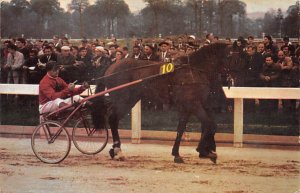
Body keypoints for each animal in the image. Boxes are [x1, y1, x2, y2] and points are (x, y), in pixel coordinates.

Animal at [90, 42, 231, 163]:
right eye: (233, 55)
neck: (193, 71)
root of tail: (110, 68)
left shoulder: (187, 106)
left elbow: (182, 128)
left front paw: (178, 154)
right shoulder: (193, 103)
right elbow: (208, 124)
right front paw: (204, 151)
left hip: (130, 100)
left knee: (113, 118)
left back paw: (114, 150)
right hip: (123, 100)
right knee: (112, 118)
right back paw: (118, 151)